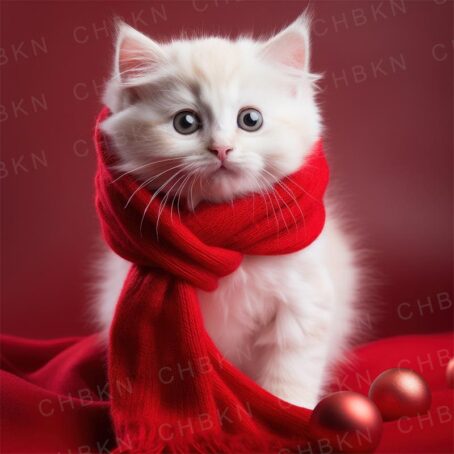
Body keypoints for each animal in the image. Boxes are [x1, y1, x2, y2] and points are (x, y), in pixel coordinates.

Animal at [97, 16, 360, 408]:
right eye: (185, 123)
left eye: (250, 120)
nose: (222, 149)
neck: (228, 243)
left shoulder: (304, 305)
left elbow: (289, 379)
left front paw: (289, 412)